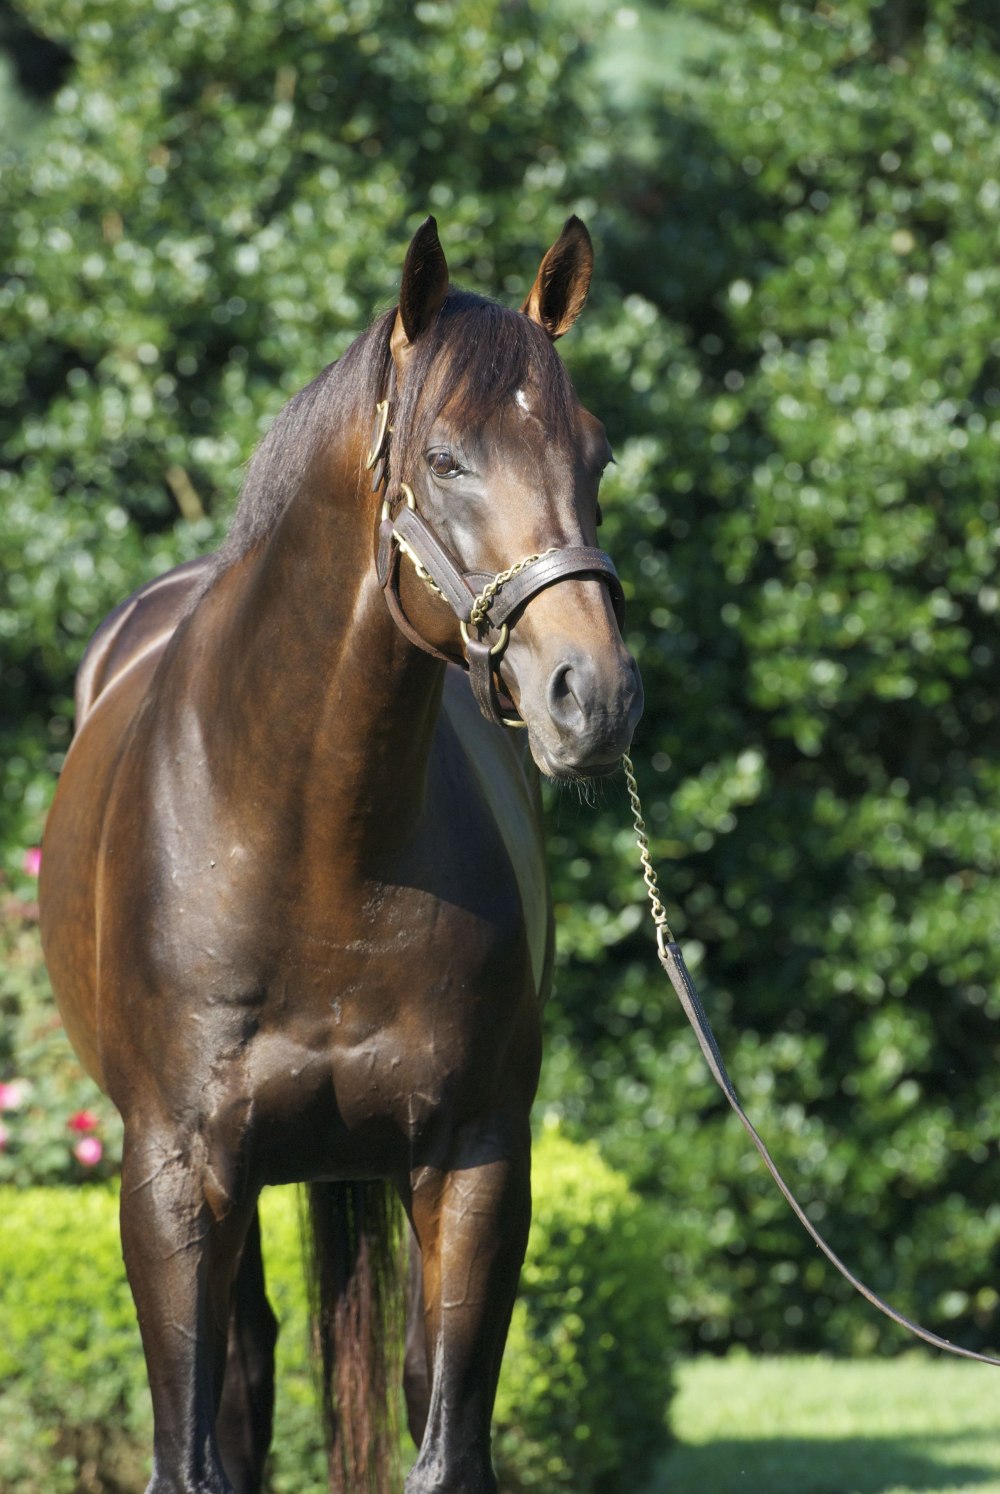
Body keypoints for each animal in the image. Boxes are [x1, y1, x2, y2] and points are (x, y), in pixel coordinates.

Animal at [39, 213, 639, 1494]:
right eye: (447, 459)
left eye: (597, 457)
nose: (594, 696)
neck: (313, 844)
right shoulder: (174, 1177)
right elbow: (194, 1443)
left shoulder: (474, 1164)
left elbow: (444, 1438)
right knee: (245, 1376)